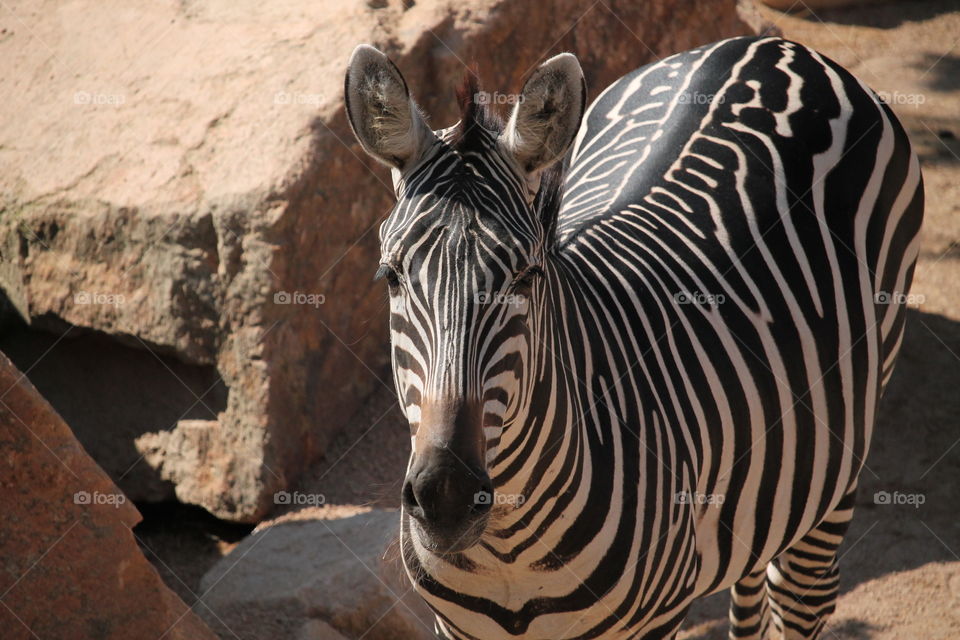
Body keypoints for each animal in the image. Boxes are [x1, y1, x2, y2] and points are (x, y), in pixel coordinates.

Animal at [344, 35, 923, 640]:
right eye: (392, 276)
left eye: (526, 277)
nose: (447, 497)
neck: (507, 550)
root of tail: (773, 45)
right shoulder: (455, 628)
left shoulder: (657, 620)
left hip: (844, 448)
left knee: (801, 593)